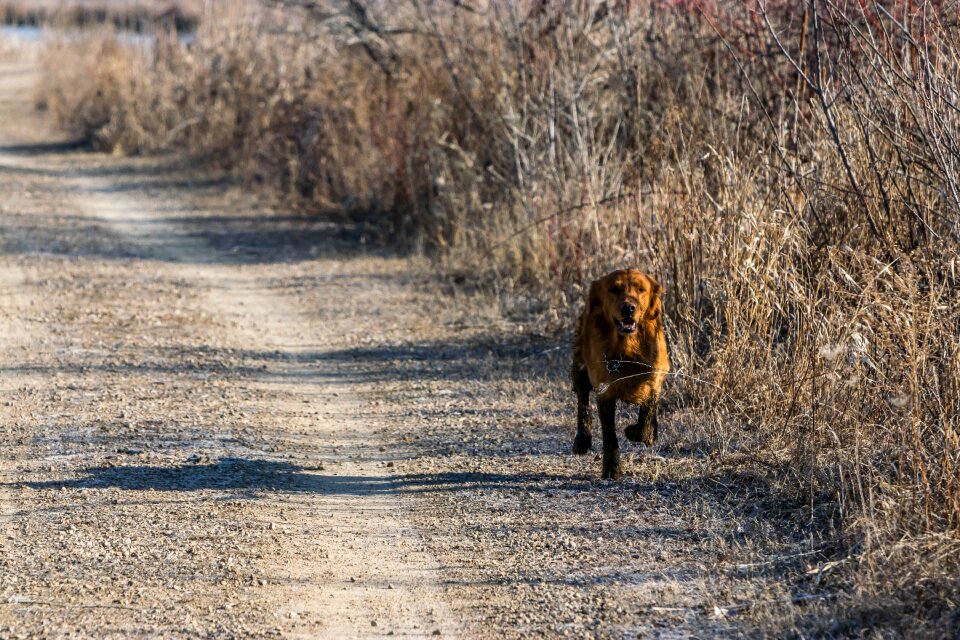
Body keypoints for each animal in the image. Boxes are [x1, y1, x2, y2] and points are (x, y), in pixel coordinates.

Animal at [568, 266, 668, 480]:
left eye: (641, 289)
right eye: (614, 289)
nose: (628, 308)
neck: (627, 348)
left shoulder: (655, 376)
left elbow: (648, 412)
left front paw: (640, 432)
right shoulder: (605, 390)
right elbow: (609, 434)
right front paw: (612, 468)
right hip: (580, 365)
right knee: (582, 401)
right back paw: (582, 439)